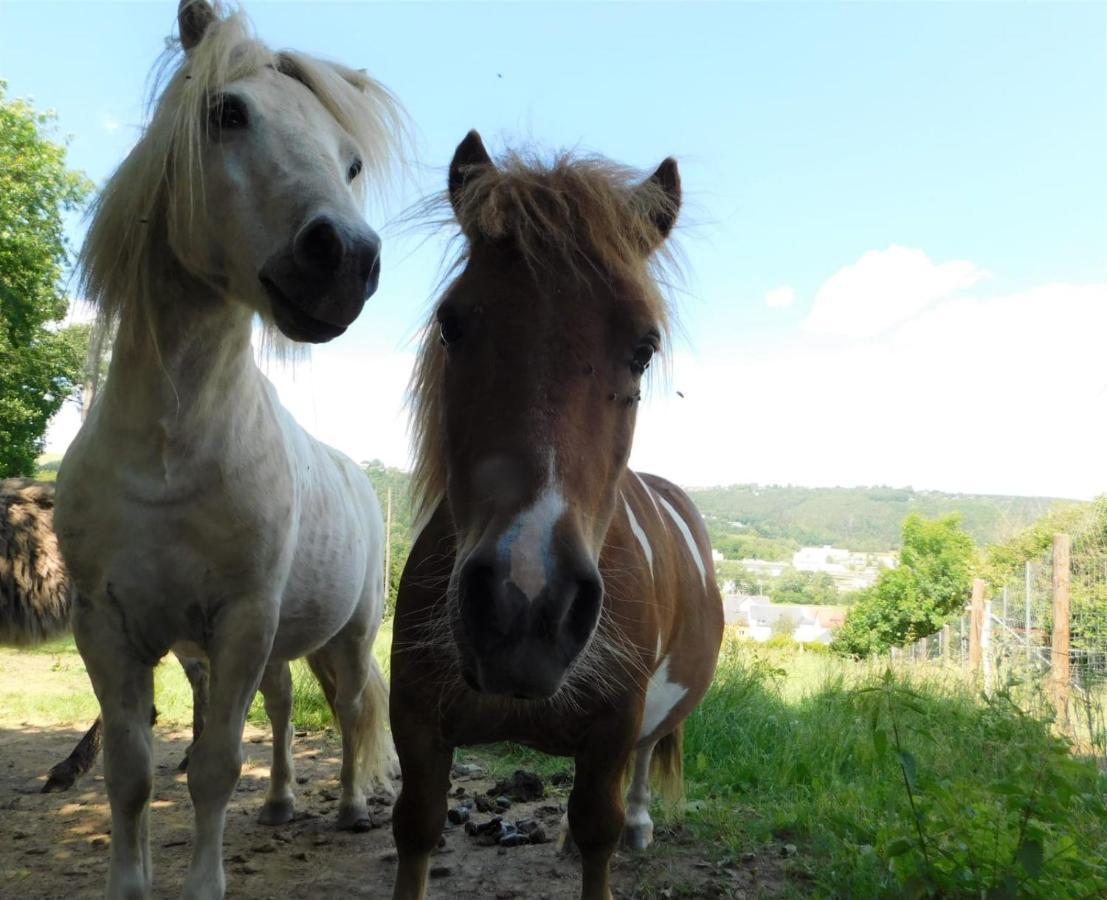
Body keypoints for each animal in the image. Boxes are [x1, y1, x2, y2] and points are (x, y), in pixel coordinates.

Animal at [53, 3, 405, 894]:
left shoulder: (242, 621)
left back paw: (352, 806)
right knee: (282, 706)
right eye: (227, 113)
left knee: (353, 705)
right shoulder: (111, 629)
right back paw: (280, 803)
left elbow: (212, 770)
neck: (168, 455)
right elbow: (132, 773)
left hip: (349, 632)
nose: (344, 259)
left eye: (352, 161)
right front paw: (129, 880)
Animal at [391, 131, 726, 898]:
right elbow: (416, 831)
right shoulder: (417, 731)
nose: (525, 604)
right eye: (452, 324)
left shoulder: (610, 733)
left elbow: (600, 828)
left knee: (642, 760)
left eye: (643, 348)